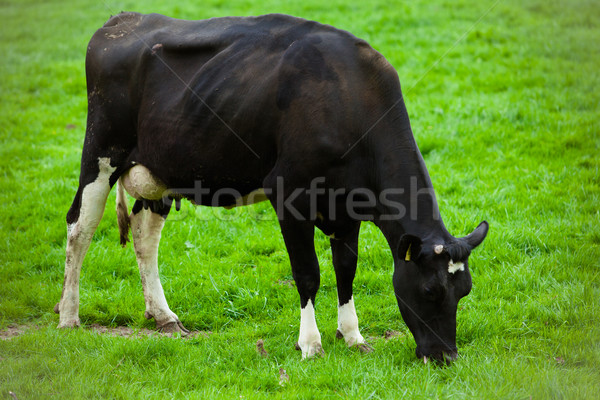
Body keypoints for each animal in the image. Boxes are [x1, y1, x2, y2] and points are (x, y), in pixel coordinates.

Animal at [55, 12, 488, 362]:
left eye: (465, 291)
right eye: (430, 291)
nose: (446, 357)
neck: (349, 97)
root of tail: (121, 20)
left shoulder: (348, 205)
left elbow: (346, 270)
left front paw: (352, 336)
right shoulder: (290, 195)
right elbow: (308, 273)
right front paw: (310, 344)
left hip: (158, 173)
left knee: (145, 238)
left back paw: (163, 316)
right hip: (101, 151)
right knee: (80, 228)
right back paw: (69, 316)